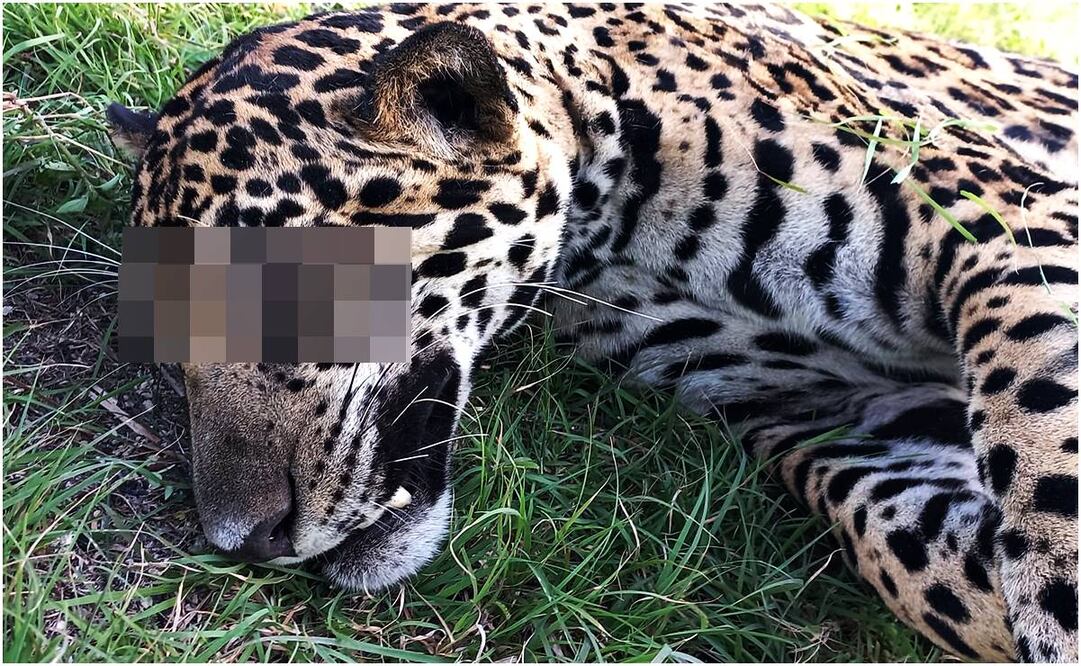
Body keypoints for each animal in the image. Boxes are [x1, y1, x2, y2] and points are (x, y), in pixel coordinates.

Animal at [106, 3, 1079, 661]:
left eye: (282, 292)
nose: (243, 542)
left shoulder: (1011, 223)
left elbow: (1044, 442)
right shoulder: (825, 419)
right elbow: (912, 556)